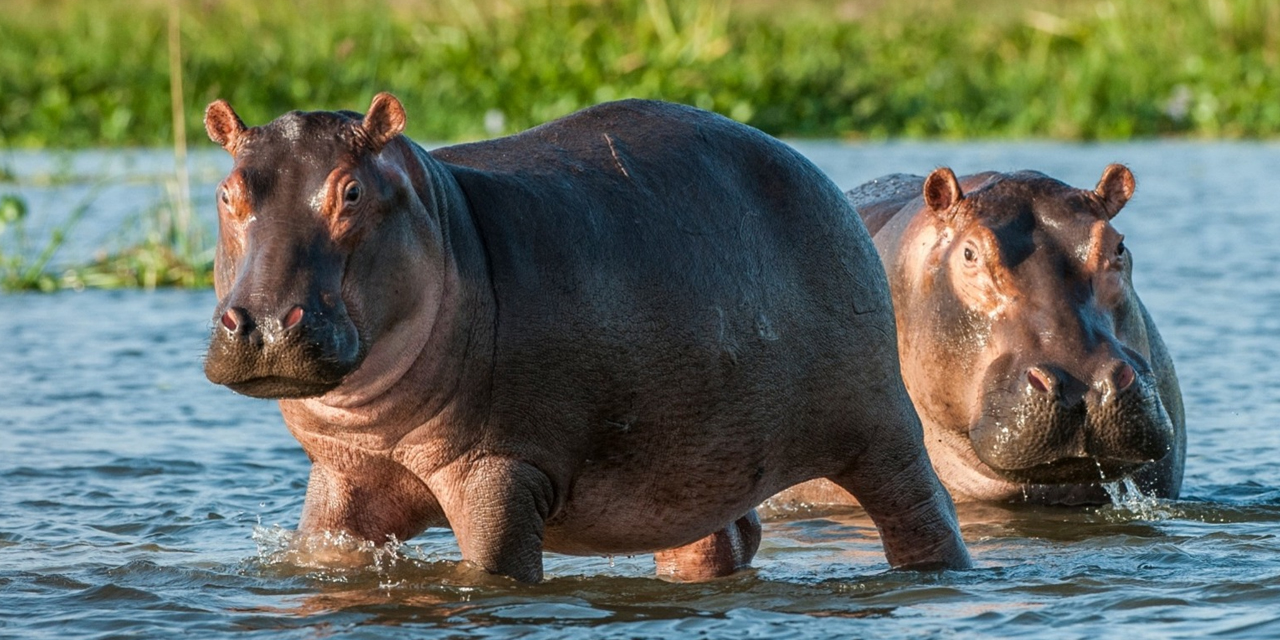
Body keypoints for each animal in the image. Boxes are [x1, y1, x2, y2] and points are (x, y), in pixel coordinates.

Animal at [199, 92, 967, 583]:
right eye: (227, 193)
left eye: (351, 192)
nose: (264, 323)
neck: (443, 221)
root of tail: (817, 174)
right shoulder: (343, 475)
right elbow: (326, 554)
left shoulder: (500, 471)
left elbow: (495, 572)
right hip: (693, 462)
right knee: (719, 539)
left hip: (880, 427)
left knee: (922, 511)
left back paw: (935, 577)